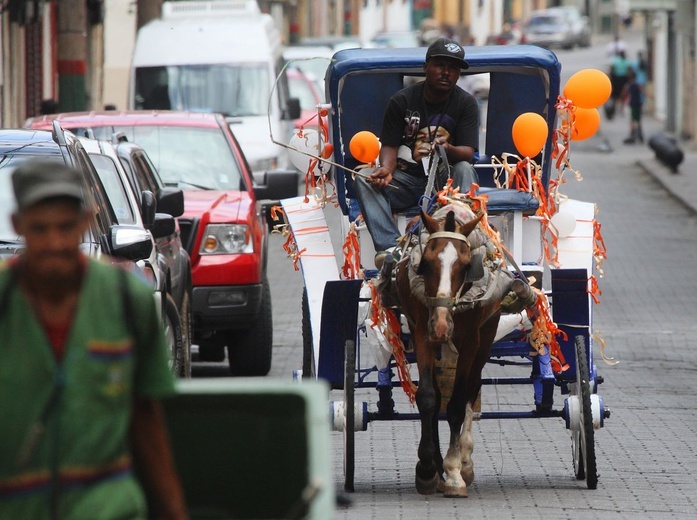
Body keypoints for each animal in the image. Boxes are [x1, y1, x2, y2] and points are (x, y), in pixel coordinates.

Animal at [394, 205, 512, 498]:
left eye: (467, 266)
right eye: (425, 262)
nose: (441, 325)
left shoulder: (470, 341)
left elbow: (458, 404)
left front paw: (454, 471)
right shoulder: (422, 333)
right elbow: (427, 398)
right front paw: (427, 468)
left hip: (486, 335)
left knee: (471, 388)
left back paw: (464, 462)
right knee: (439, 397)